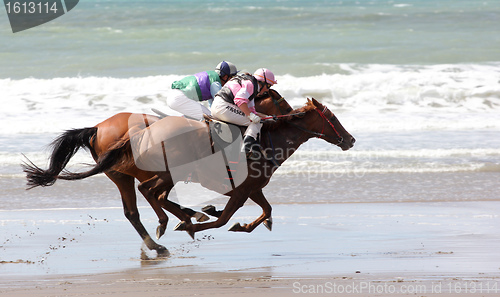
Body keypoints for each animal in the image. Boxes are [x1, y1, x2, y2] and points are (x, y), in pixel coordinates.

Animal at [26, 97, 352, 243]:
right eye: (333, 117)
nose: (350, 139)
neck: (266, 141)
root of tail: (97, 127)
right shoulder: (241, 189)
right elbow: (226, 219)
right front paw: (199, 222)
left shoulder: (250, 188)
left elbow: (266, 210)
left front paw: (237, 223)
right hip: (164, 172)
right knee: (151, 194)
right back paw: (176, 222)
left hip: (126, 175)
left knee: (139, 205)